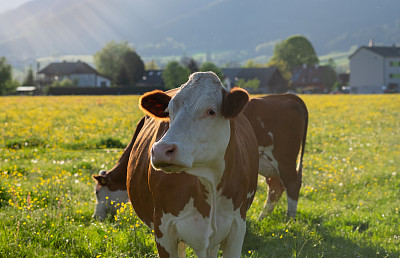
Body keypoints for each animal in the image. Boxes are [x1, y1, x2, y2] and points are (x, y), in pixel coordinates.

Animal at [128, 71, 260, 256]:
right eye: (169, 112)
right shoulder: (163, 230)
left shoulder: (237, 226)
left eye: (211, 111)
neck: (208, 183)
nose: (161, 149)